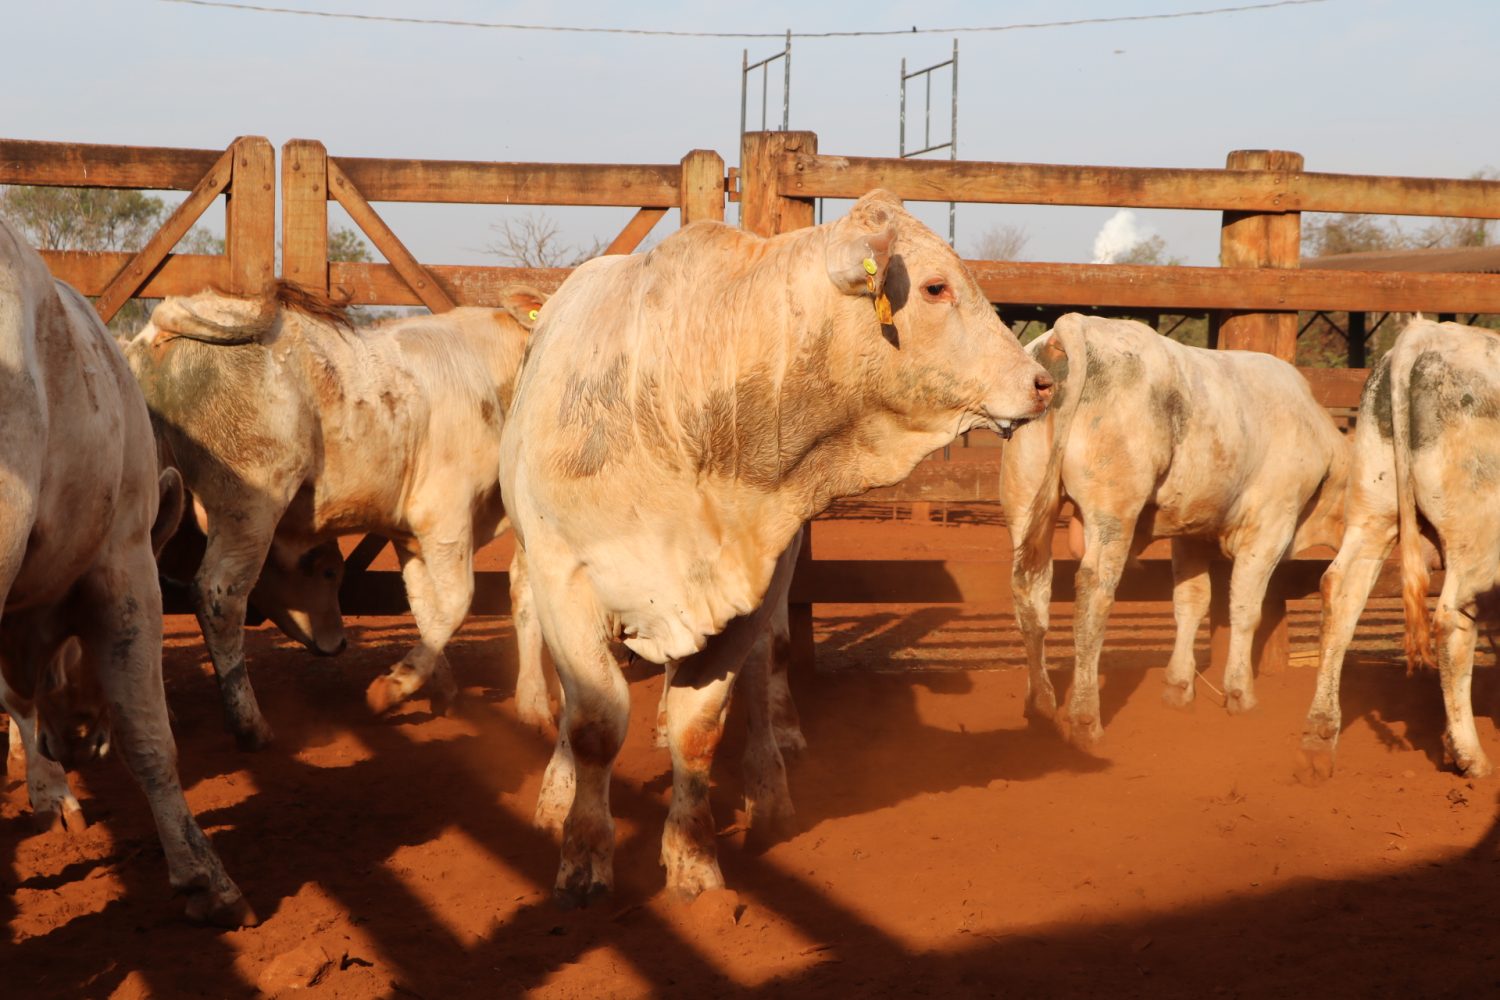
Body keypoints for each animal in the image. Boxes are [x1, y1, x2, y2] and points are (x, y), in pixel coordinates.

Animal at [498, 189, 1050, 905]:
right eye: (935, 286)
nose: (1041, 381)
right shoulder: (565, 580)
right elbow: (592, 724)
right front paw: (583, 852)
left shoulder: (746, 594)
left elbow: (698, 730)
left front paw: (694, 860)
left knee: (763, 679)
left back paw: (770, 790)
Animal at [1008, 316, 1350, 746]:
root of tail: (1077, 324)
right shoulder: (1270, 527)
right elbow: (1245, 610)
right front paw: (1241, 693)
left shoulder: (1192, 533)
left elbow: (1191, 601)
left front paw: (1178, 687)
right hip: (1112, 515)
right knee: (1093, 595)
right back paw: (1085, 718)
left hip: (1025, 504)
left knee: (1029, 591)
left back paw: (1039, 705)